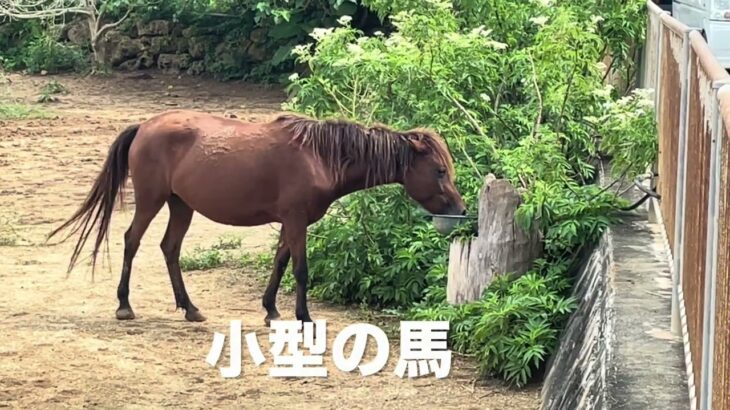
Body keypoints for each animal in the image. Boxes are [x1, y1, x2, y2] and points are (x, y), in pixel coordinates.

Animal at [48, 110, 464, 326]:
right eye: (440, 171)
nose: (460, 210)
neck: (320, 156)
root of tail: (145, 126)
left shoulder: (291, 222)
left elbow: (279, 264)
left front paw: (271, 310)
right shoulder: (296, 220)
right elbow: (300, 270)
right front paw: (304, 317)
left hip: (181, 205)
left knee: (170, 249)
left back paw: (190, 308)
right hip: (152, 200)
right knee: (132, 242)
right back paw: (124, 306)